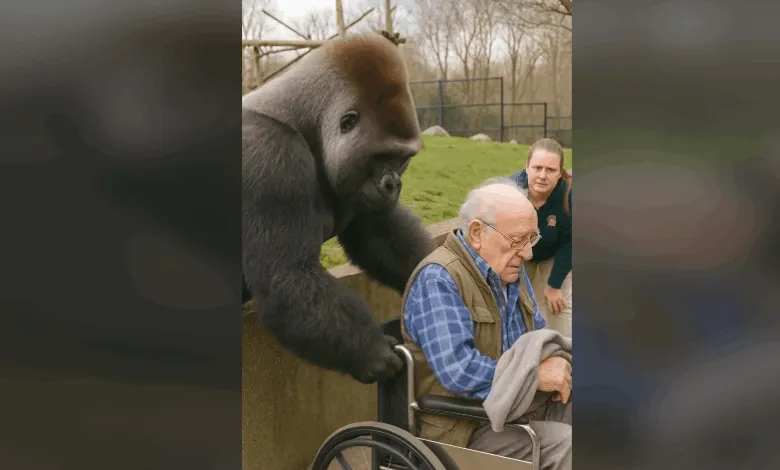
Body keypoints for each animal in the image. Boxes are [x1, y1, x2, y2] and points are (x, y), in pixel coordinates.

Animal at [241, 33, 437, 384]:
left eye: (402, 159)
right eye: (382, 156)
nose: (393, 185)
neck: (304, 122)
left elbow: (380, 237)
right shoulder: (269, 156)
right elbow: (287, 277)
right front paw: (370, 349)